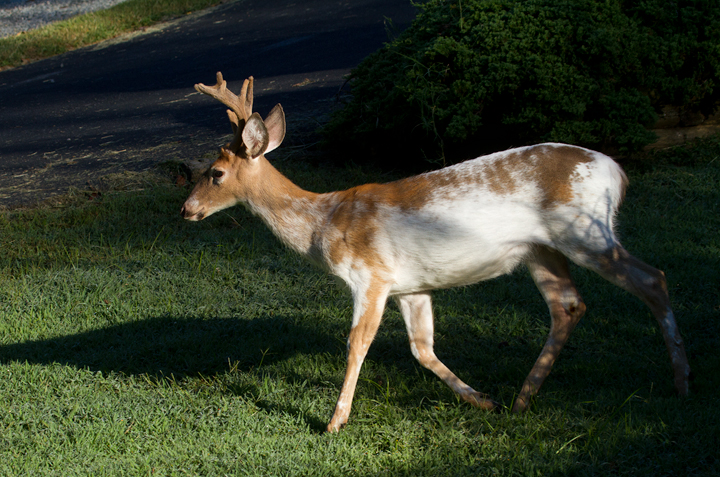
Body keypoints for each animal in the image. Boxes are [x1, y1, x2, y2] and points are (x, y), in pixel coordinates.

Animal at [181, 72, 690, 432]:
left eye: (216, 173)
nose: (186, 209)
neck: (324, 222)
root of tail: (617, 172)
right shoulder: (410, 286)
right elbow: (422, 349)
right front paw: (481, 398)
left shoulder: (371, 275)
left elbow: (356, 343)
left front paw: (334, 421)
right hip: (542, 250)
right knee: (569, 304)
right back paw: (520, 399)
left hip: (585, 230)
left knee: (654, 278)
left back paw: (682, 380)